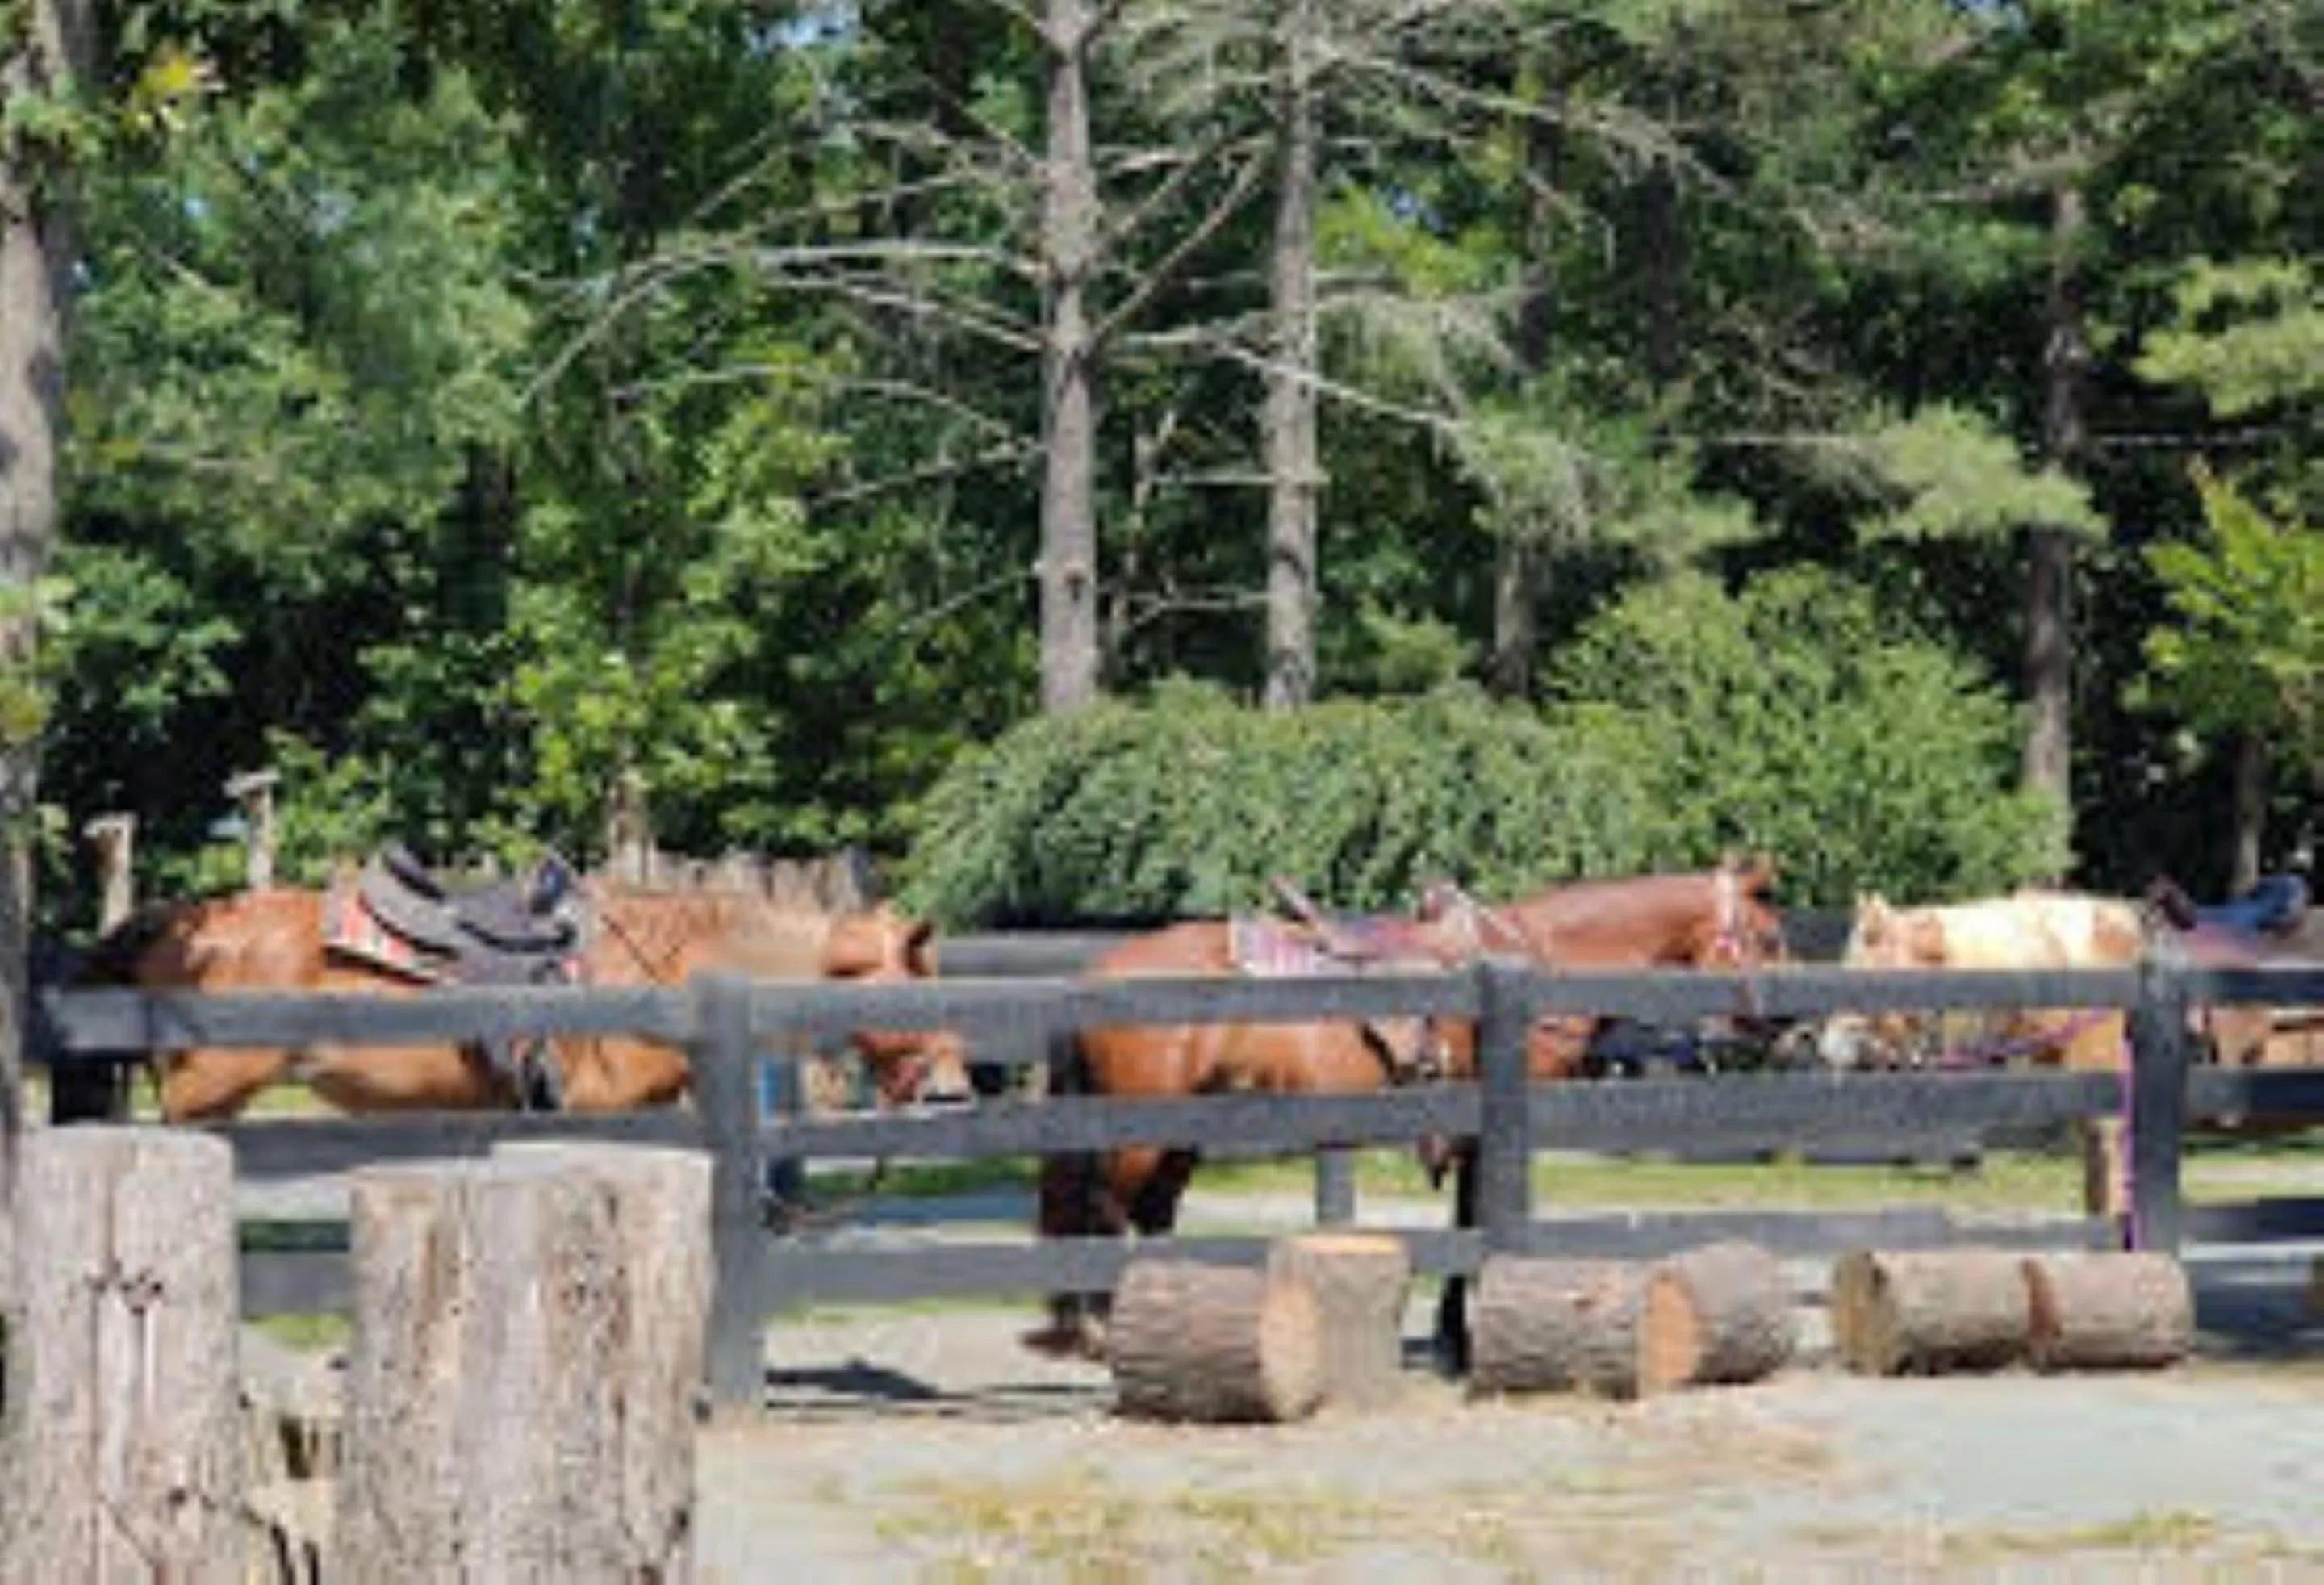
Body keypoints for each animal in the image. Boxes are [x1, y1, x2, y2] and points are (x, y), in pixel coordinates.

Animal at [1027, 859, 1791, 1361]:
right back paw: (1103, 1326)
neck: (1536, 957)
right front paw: (1462, 1337)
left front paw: (1455, 1333)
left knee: (1152, 1211)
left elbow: (1464, 1218)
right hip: (1137, 1133)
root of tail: (1095, 974)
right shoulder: (1489, 1134)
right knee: (1107, 1208)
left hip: (1179, 1129)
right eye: (1770, 937)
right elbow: (1477, 1216)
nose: (1783, 1027)